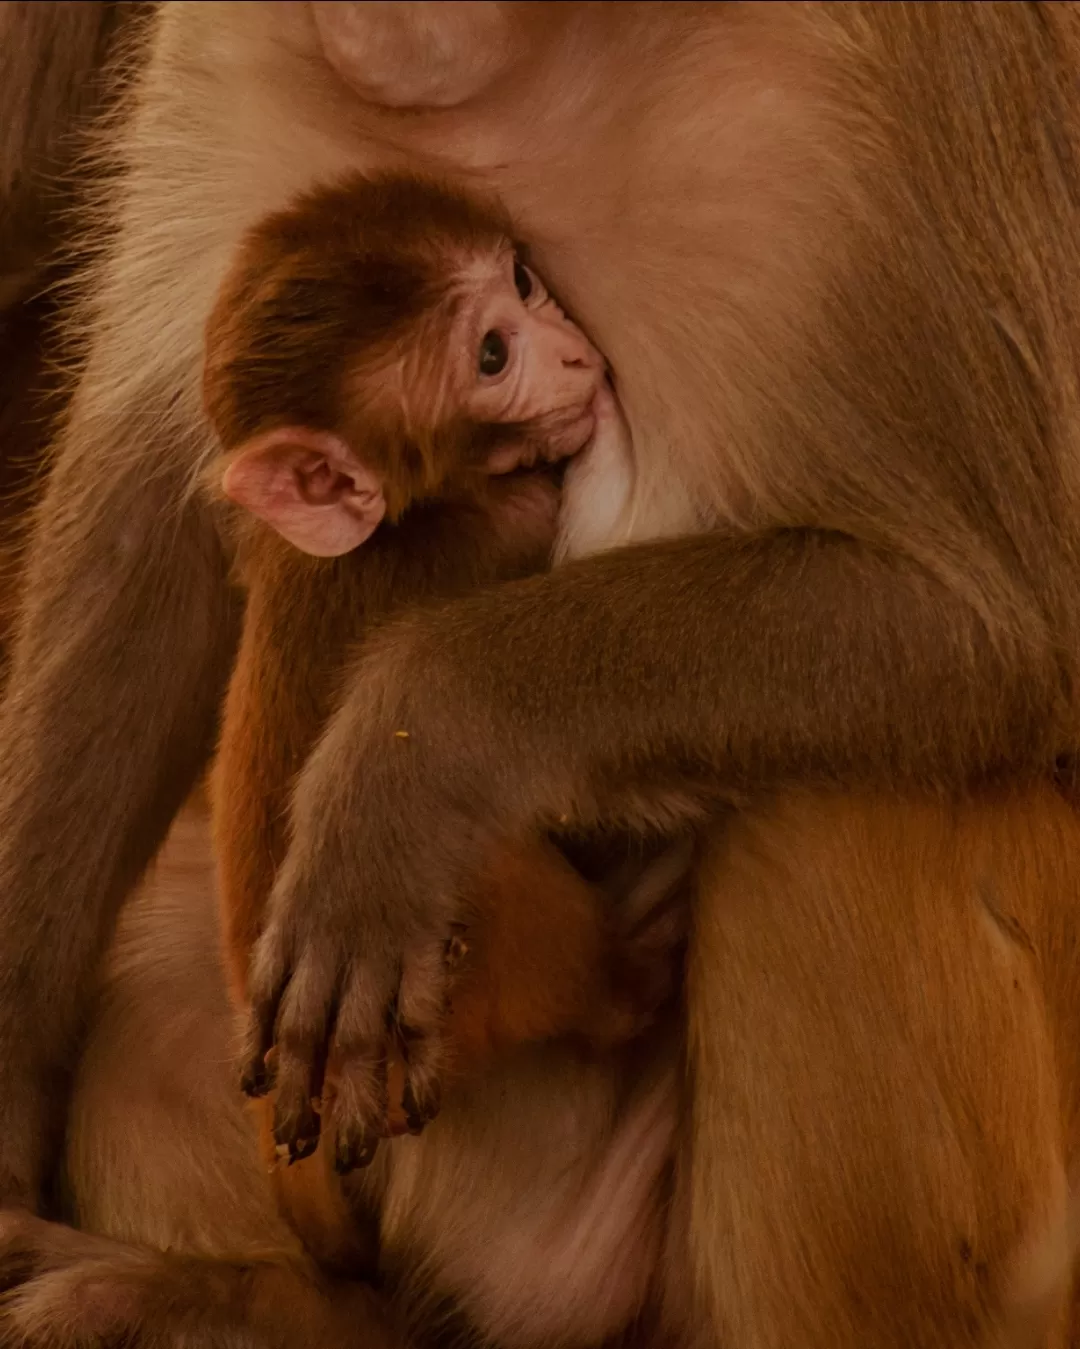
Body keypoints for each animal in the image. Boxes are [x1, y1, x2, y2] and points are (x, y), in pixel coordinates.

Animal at [204, 176, 682, 1203]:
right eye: (493, 356)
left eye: (523, 280)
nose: (576, 352)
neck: (415, 514)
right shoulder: (504, 527)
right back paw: (631, 987)